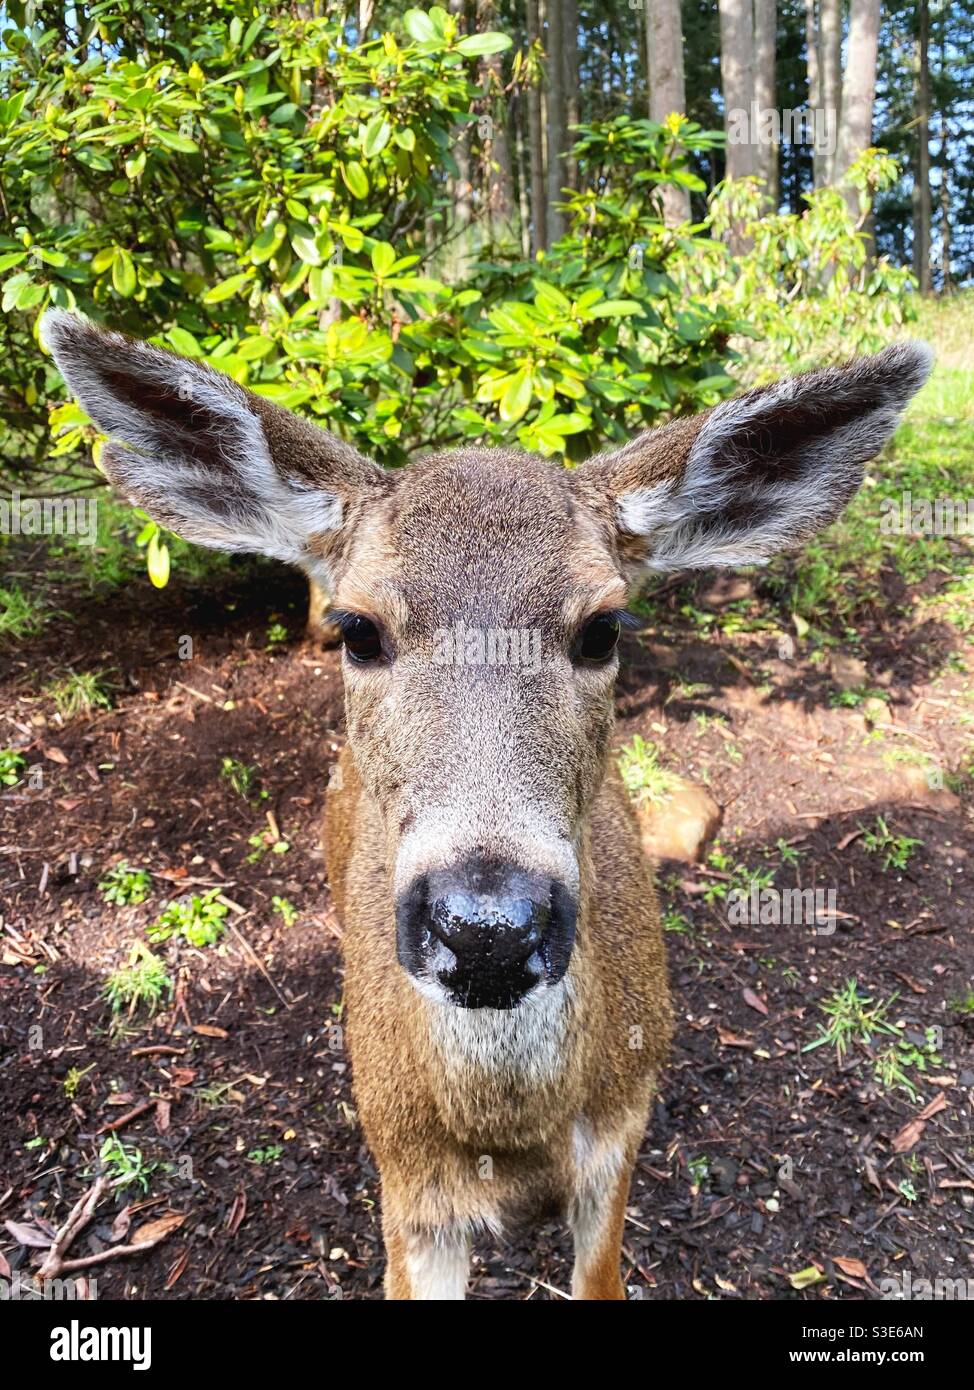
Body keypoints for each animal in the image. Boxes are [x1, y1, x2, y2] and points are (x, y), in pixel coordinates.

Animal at [41, 309, 928, 1295]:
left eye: (602, 628)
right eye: (357, 630)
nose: (487, 928)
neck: (509, 1139)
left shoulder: (618, 1147)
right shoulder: (409, 1193)